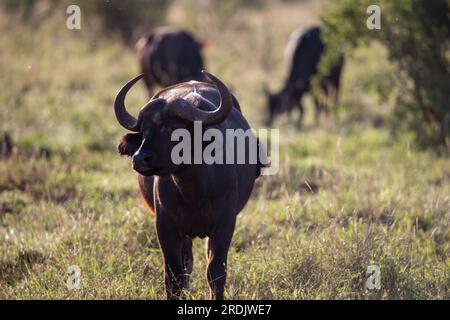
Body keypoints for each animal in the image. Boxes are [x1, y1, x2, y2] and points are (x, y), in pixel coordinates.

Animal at [114, 70, 266, 300]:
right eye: (144, 130)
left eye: (173, 129)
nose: (140, 159)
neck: (195, 193)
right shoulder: (166, 227)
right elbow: (174, 274)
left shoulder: (225, 224)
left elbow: (215, 272)